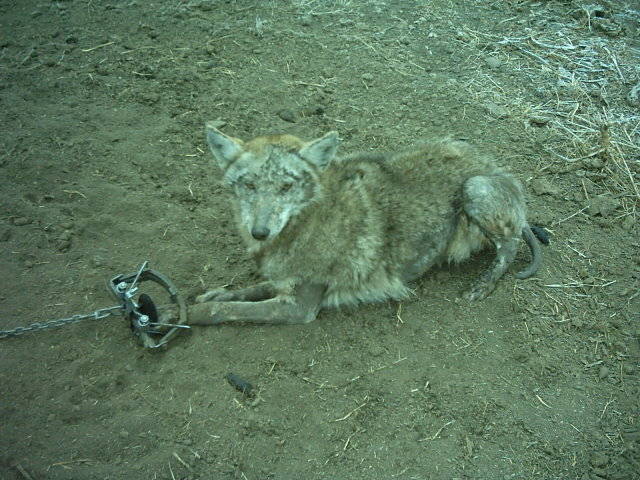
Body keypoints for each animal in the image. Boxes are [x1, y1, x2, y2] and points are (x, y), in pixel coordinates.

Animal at [187, 122, 541, 326]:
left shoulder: (299, 308)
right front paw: (216, 294)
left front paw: (185, 316)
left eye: (286, 187)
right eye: (249, 185)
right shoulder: (284, 282)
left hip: (475, 188)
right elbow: (246, 292)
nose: (259, 232)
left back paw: (483, 284)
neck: (303, 223)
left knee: (510, 245)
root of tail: (493, 164)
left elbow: (223, 312)